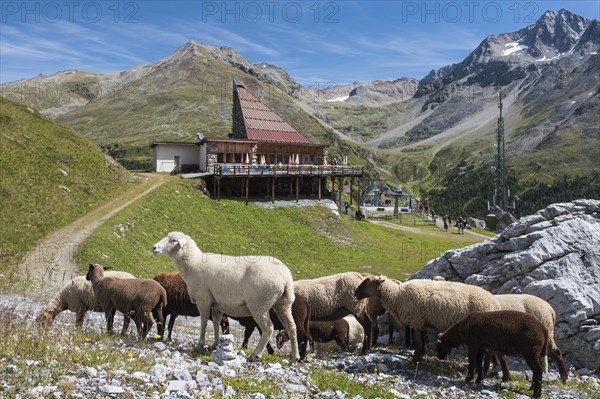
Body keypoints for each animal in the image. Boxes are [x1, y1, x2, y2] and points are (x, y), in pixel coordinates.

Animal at [151, 231, 298, 362]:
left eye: (173, 240)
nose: (154, 247)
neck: (193, 263)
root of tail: (285, 276)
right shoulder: (217, 303)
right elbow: (216, 322)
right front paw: (215, 344)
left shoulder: (203, 299)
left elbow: (204, 321)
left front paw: (200, 344)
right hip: (284, 303)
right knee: (291, 327)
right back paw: (294, 357)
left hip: (259, 304)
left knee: (268, 328)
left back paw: (255, 355)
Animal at [354, 276, 500, 364]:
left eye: (367, 282)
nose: (355, 294)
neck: (398, 295)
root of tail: (495, 303)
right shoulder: (422, 321)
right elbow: (423, 340)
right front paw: (422, 355)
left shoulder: (417, 321)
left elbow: (418, 343)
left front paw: (415, 360)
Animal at [436, 310, 568, 398]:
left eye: (438, 346)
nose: (439, 357)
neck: (459, 331)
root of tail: (543, 329)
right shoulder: (482, 346)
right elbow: (479, 361)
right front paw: (479, 379)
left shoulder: (473, 343)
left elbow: (472, 361)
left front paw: (468, 379)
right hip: (536, 350)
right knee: (538, 370)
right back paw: (532, 387)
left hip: (531, 349)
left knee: (538, 370)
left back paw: (536, 394)